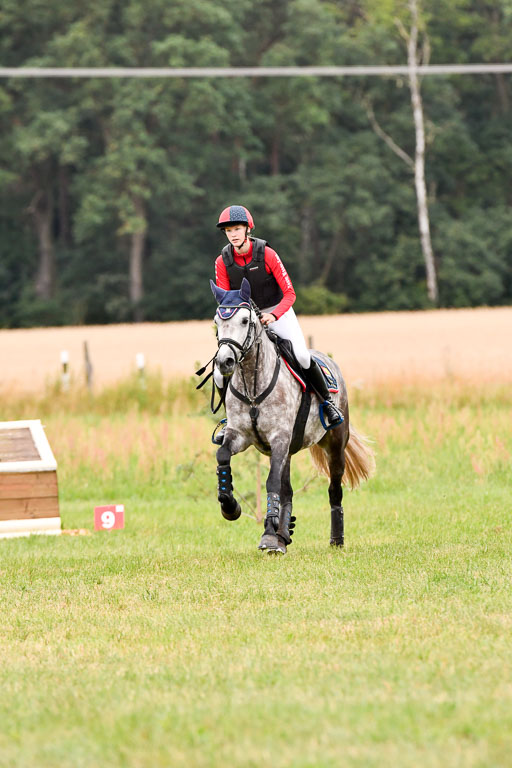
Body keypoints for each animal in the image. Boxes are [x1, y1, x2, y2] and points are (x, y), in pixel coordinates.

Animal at [208, 276, 376, 552]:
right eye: (217, 322)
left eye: (244, 320)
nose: (224, 362)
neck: (253, 384)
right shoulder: (240, 435)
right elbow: (223, 457)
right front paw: (231, 508)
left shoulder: (279, 437)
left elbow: (271, 482)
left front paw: (268, 534)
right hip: (287, 450)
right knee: (287, 490)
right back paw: (282, 536)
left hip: (334, 444)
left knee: (334, 490)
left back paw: (335, 540)